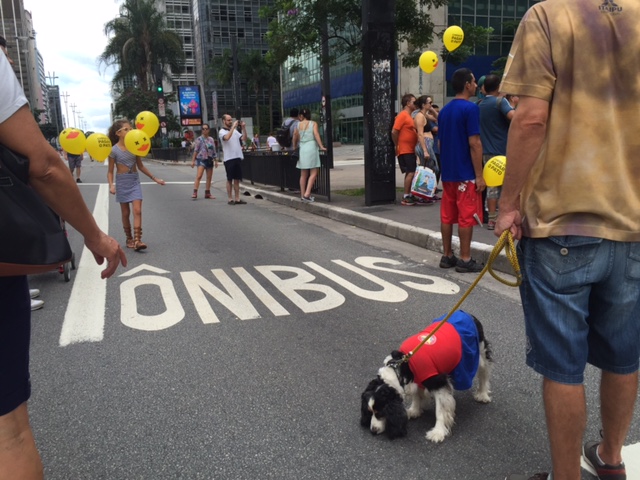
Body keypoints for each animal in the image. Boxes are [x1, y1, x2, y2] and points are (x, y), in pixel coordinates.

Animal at [360, 312, 496, 442]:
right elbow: (417, 395)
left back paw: (482, 395)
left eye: (380, 413)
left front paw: (438, 432)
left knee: (484, 373)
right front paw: (414, 410)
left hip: (479, 352)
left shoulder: (438, 383)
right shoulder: (417, 379)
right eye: (370, 411)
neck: (402, 367)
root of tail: (467, 314)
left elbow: (440, 410)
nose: (373, 430)